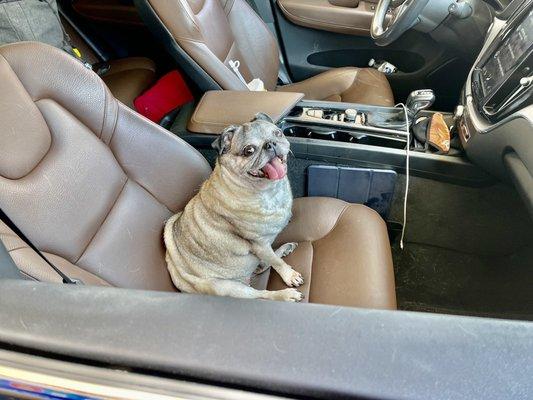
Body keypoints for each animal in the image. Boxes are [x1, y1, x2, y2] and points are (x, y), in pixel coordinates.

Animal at [162, 112, 304, 300]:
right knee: (261, 294)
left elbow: (273, 259)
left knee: (262, 266)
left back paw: (284, 249)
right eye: (249, 151)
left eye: (278, 133)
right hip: (228, 288)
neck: (268, 192)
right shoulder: (260, 245)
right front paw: (289, 275)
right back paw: (285, 295)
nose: (270, 144)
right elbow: (276, 262)